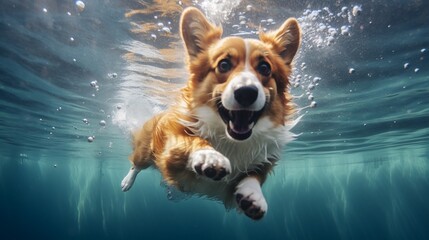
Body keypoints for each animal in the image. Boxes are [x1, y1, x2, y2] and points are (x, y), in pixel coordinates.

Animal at [121, 6, 300, 220]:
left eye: (265, 68)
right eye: (224, 65)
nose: (246, 92)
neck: (231, 140)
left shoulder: (266, 159)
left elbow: (255, 175)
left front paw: (254, 195)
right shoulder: (171, 152)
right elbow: (191, 140)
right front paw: (210, 155)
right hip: (145, 151)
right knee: (136, 164)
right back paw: (127, 181)